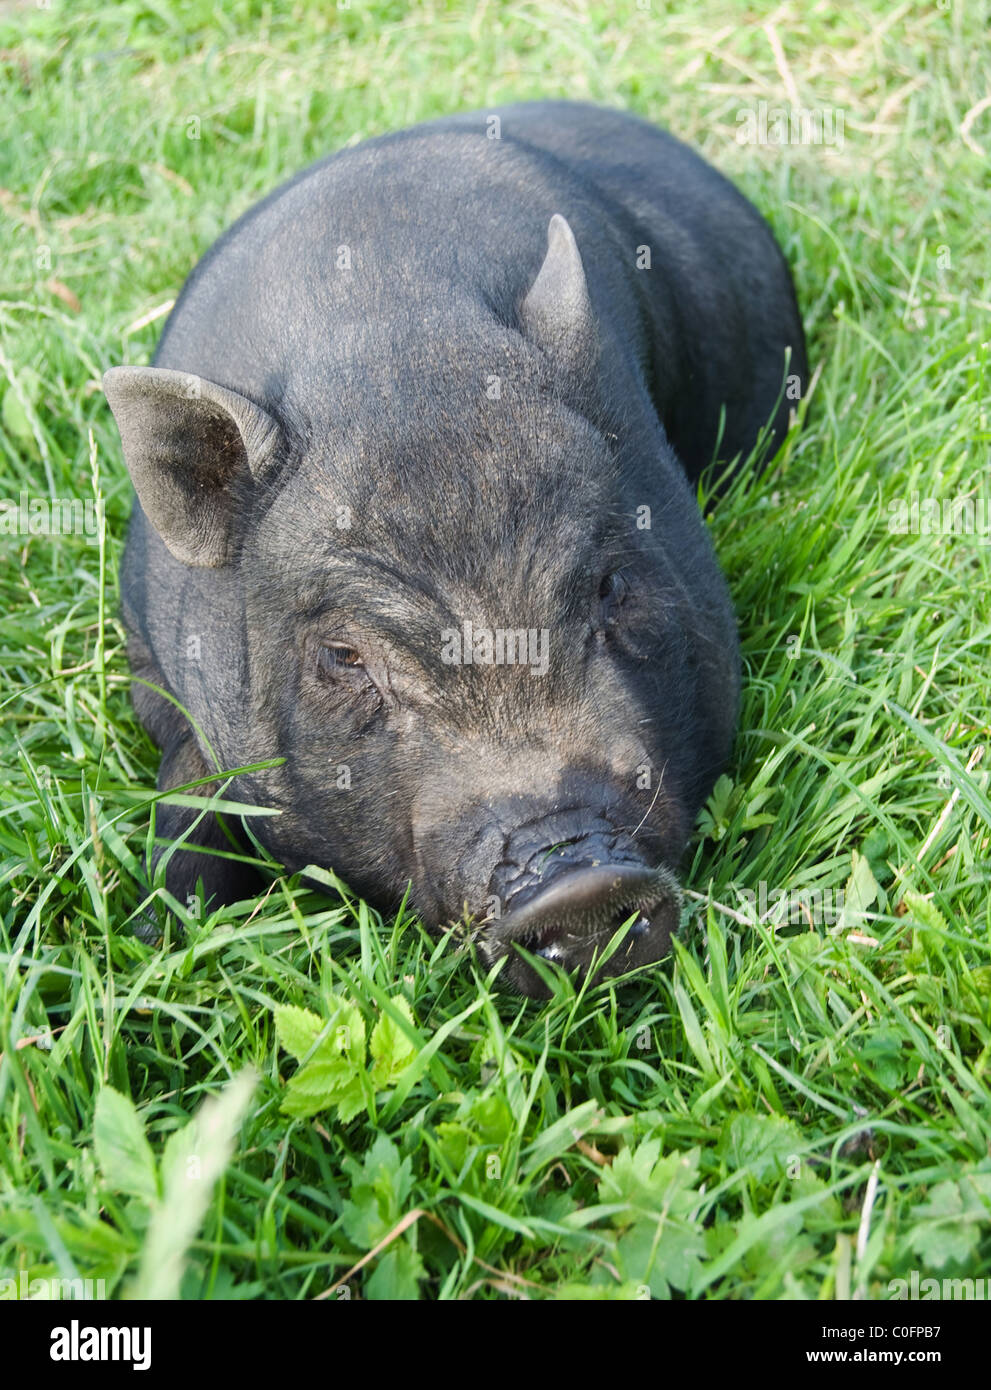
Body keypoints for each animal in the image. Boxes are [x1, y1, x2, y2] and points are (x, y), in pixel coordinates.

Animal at [104, 101, 807, 997]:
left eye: (611, 585)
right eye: (342, 655)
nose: (581, 885)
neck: (383, 327)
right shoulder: (149, 659)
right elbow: (190, 788)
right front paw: (157, 944)